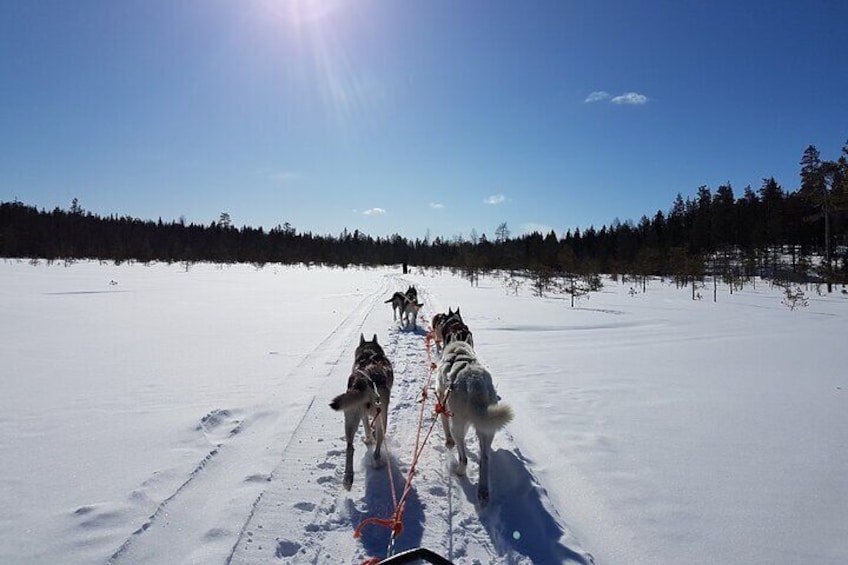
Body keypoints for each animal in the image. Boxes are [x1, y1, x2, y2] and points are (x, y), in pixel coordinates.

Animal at [332, 332, 396, 486]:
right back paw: (377, 462)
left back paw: (348, 479)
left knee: (350, 447)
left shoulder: (363, 415)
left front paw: (368, 439)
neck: (369, 354)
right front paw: (371, 440)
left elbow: (367, 427)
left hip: (350, 418)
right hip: (382, 417)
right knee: (378, 444)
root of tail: (362, 380)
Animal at [438, 338, 510, 504]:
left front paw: (448, 442)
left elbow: (445, 427)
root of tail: (474, 382)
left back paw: (458, 471)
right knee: (485, 459)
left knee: (463, 457)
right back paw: (483, 491)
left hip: (457, 425)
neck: (458, 351)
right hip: (486, 429)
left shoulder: (442, 403)